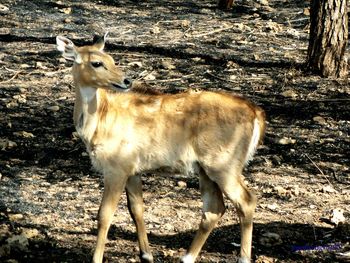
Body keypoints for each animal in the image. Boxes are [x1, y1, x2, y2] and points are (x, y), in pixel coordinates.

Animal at [56, 35, 266, 263]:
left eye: (111, 59)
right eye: (97, 62)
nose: (126, 81)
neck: (100, 120)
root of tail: (256, 113)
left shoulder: (115, 169)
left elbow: (104, 215)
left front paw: (97, 258)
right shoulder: (132, 170)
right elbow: (136, 209)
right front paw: (146, 255)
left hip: (223, 165)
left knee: (246, 201)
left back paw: (242, 258)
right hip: (205, 169)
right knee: (214, 208)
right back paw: (187, 257)